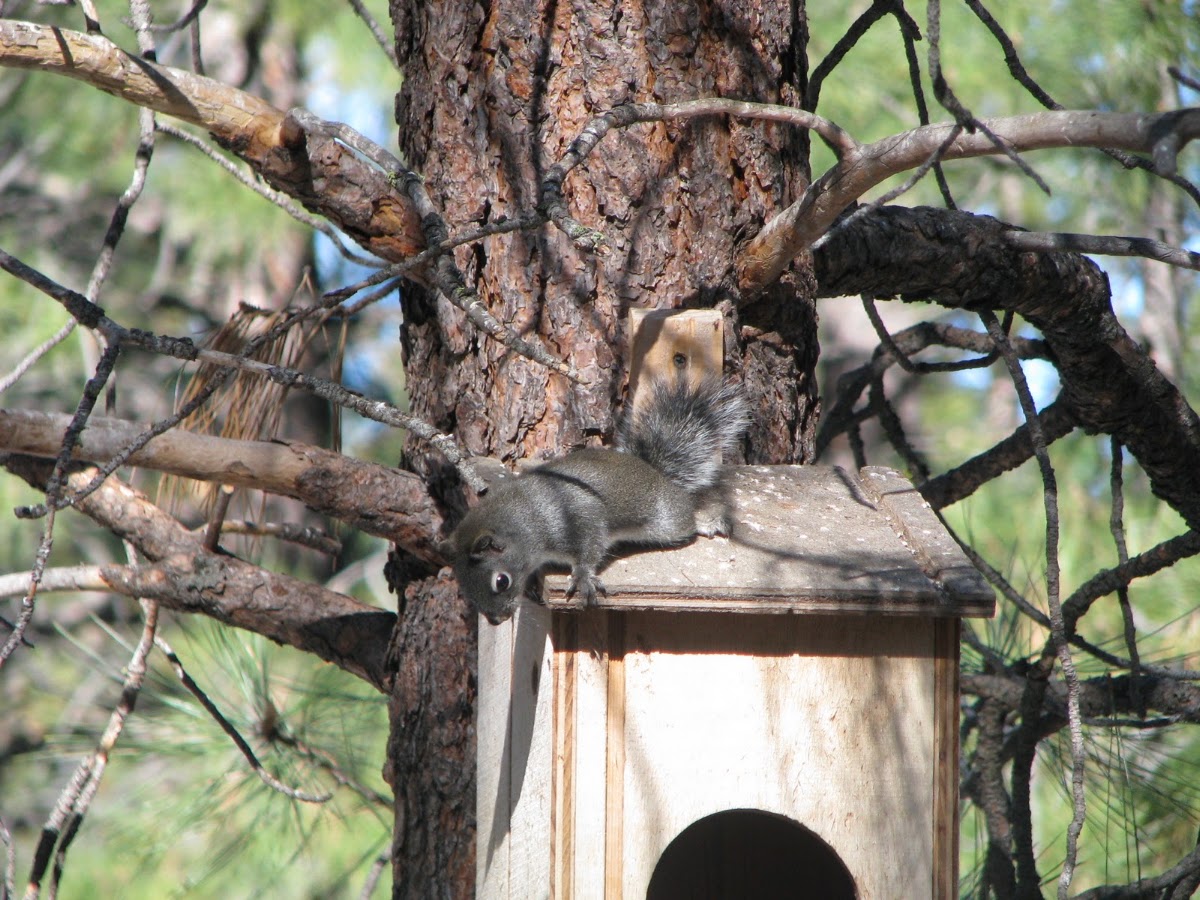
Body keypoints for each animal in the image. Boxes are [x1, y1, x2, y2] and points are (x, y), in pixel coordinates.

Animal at [448, 376, 749, 624]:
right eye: (463, 586)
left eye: (501, 581)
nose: (496, 620)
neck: (526, 522)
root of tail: (653, 471)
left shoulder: (579, 514)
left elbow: (590, 546)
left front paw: (582, 578)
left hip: (666, 519)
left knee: (686, 517)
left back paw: (706, 521)